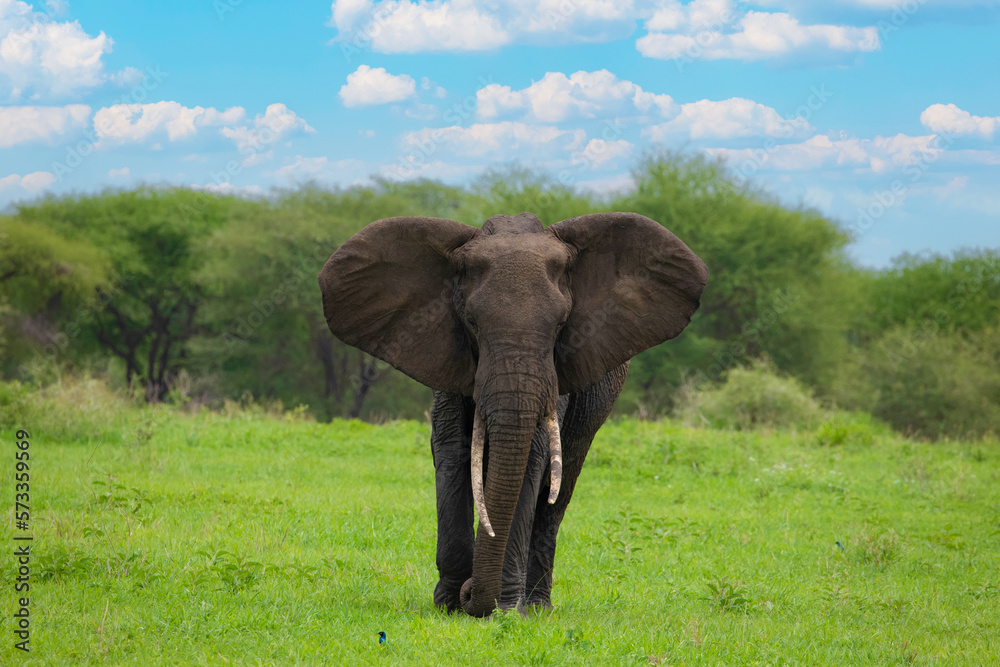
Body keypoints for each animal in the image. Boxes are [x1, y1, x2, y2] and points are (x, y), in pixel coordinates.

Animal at [318, 211, 708, 617]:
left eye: (560, 325)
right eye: (472, 322)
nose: (470, 594)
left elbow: (531, 461)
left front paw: (503, 611)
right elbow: (452, 451)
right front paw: (449, 605)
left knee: (559, 486)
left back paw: (536, 606)